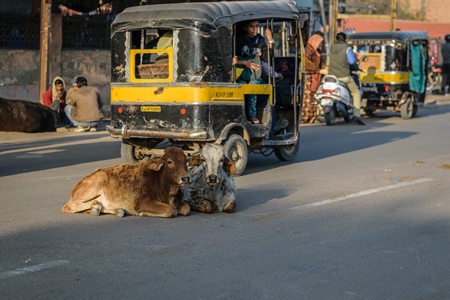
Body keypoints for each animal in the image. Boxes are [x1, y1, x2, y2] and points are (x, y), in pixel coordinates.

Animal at [61, 146, 190, 218]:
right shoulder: (141, 202)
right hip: (95, 184)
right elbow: (170, 210)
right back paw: (96, 206)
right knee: (68, 206)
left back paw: (115, 210)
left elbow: (186, 209)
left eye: (185, 160)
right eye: (169, 161)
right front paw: (141, 213)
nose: (185, 178)